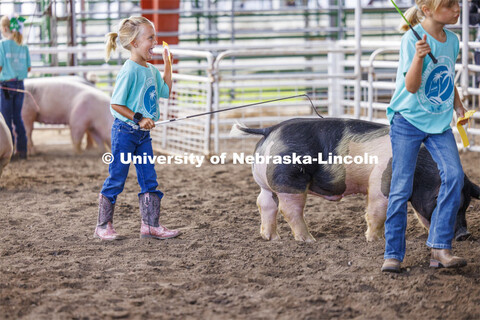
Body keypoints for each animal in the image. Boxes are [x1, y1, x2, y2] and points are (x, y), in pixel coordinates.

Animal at [231, 117, 478, 242]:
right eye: (448, 204)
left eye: (466, 205)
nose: (465, 235)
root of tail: (270, 129)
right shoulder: (380, 182)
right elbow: (378, 211)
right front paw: (374, 240)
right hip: (290, 180)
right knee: (289, 210)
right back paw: (309, 240)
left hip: (266, 182)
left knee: (264, 204)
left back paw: (271, 238)